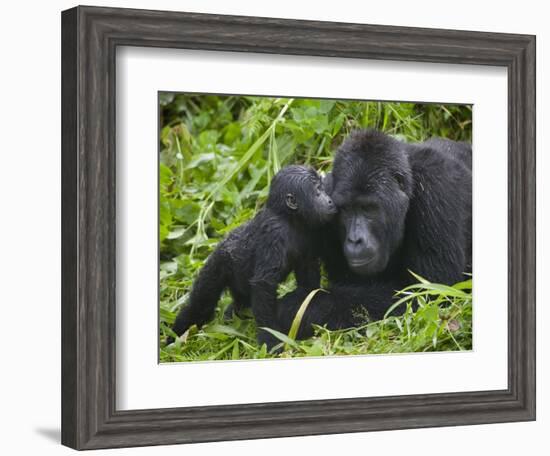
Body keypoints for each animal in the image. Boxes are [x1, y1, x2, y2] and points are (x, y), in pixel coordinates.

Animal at [170, 166, 338, 348]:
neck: (289, 218)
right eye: (317, 191)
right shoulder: (274, 232)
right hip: (217, 263)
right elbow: (263, 284)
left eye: (322, 188)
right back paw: (175, 336)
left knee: (240, 301)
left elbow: (308, 280)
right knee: (200, 304)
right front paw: (270, 339)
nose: (330, 200)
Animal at [280, 128, 474, 334]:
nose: (355, 240)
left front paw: (303, 306)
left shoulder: (436, 188)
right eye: (346, 210)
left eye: (369, 209)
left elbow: (429, 294)